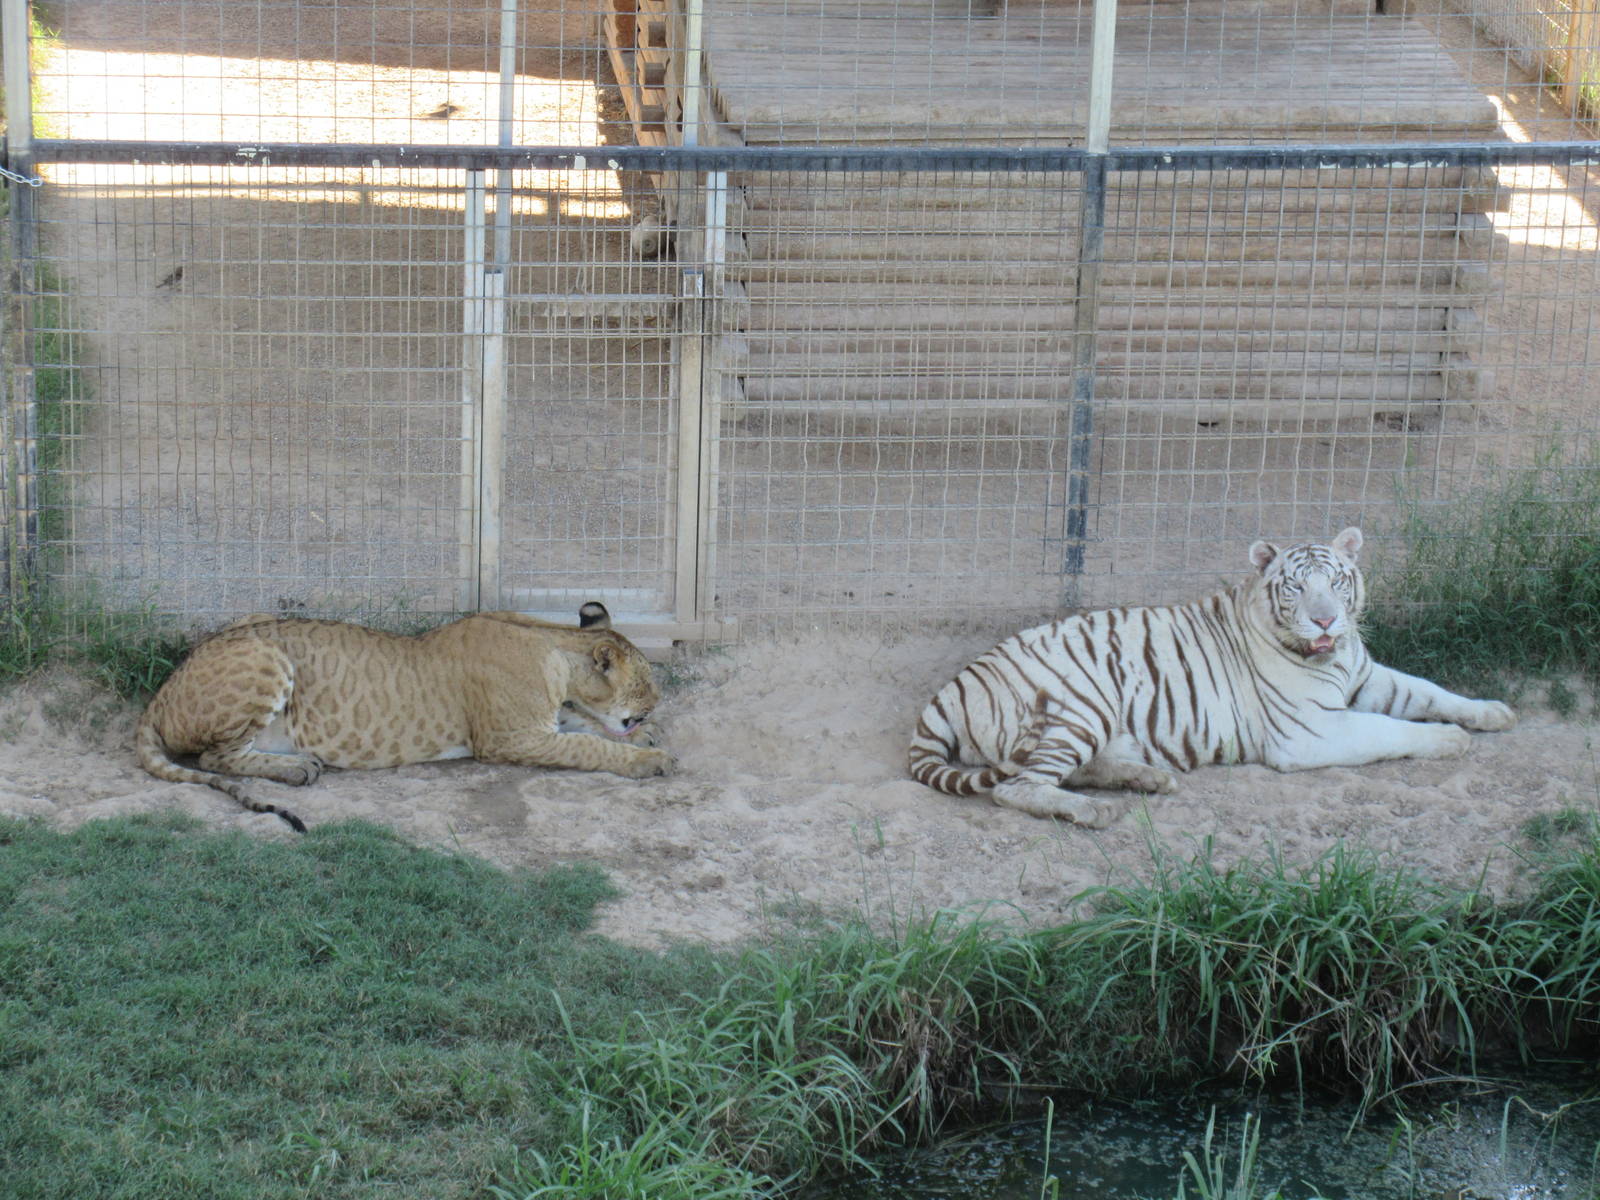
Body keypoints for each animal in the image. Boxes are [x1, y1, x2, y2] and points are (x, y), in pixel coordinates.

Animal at [136, 601, 672, 832]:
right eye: (646, 680)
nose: (658, 701)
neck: (556, 644)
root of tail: (161, 693)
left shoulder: (544, 723)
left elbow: (589, 727)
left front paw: (647, 738)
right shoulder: (513, 738)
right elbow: (590, 744)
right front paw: (649, 759)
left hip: (252, 623)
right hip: (265, 655)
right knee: (215, 757)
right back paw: (297, 768)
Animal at [908, 528, 1515, 828]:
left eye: (1337, 581)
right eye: (1297, 587)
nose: (1325, 620)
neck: (1334, 656)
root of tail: (953, 685)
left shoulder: (1366, 678)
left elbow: (1429, 691)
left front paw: (1492, 712)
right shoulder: (1313, 732)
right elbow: (1392, 730)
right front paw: (1450, 740)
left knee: (1065, 770)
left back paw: (1147, 779)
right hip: (1083, 703)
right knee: (1018, 787)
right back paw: (1097, 812)